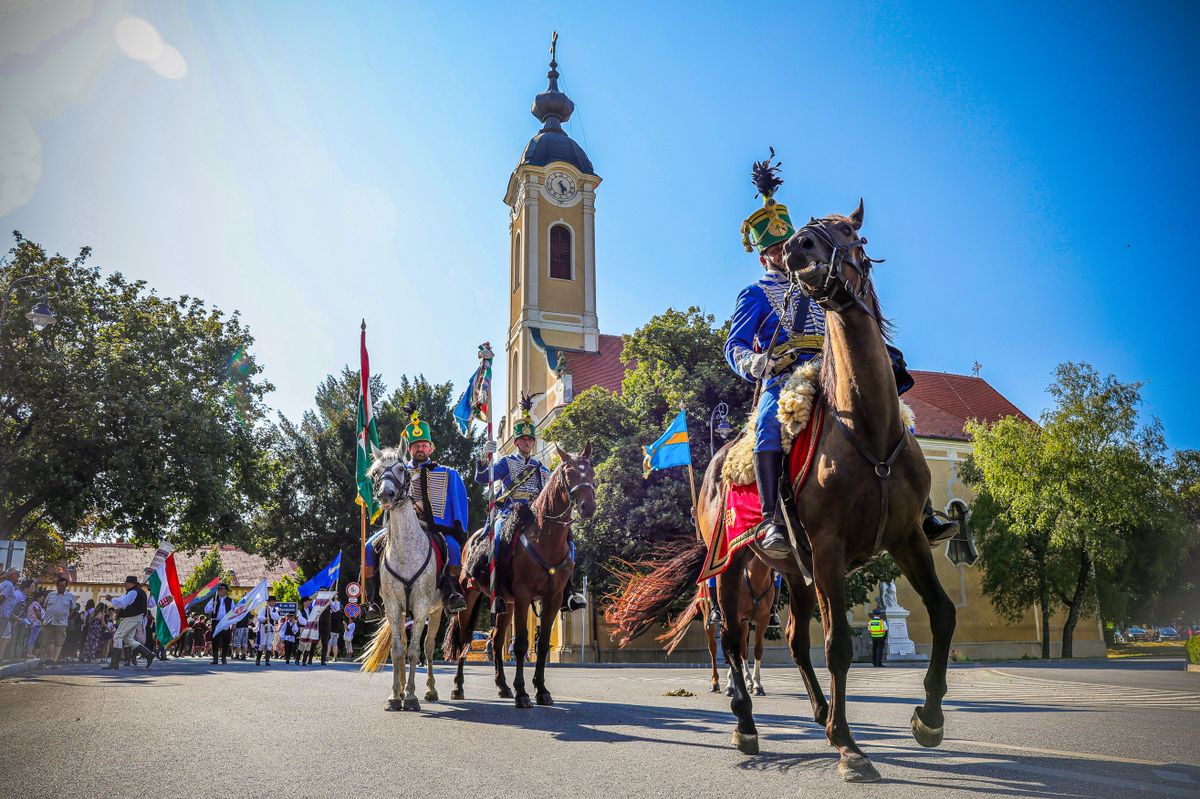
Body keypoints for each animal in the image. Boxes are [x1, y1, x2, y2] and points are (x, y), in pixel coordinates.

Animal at [444, 443, 597, 705]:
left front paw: (541, 690)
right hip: (471, 595)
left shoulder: (553, 598)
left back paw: (503, 686)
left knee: (496, 640)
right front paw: (523, 693)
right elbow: (522, 643)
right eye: (569, 473)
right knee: (464, 638)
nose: (588, 507)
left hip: (507, 604)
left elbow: (542, 643)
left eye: (591, 471)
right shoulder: (524, 596)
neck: (545, 538)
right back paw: (458, 687)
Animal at [609, 202, 955, 782]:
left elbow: (943, 613)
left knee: (792, 640)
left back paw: (819, 713)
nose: (797, 247)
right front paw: (849, 747)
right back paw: (747, 723)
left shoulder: (906, 537)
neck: (868, 428)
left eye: (851, 231)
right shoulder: (830, 550)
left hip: (791, 570)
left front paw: (927, 719)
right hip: (730, 567)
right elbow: (837, 645)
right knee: (730, 639)